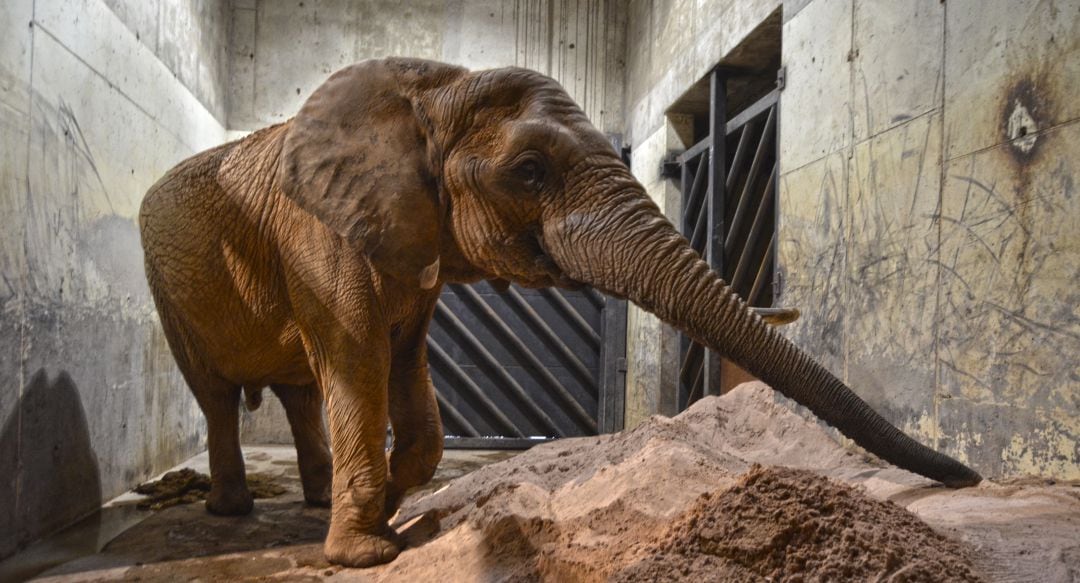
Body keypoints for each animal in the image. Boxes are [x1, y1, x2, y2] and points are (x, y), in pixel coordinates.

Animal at [139, 56, 984, 565]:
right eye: (529, 171)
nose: (968, 478)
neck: (429, 87)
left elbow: (406, 360)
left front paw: (394, 505)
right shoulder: (318, 233)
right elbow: (357, 358)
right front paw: (367, 551)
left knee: (295, 390)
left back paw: (313, 498)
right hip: (163, 281)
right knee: (216, 393)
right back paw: (232, 509)